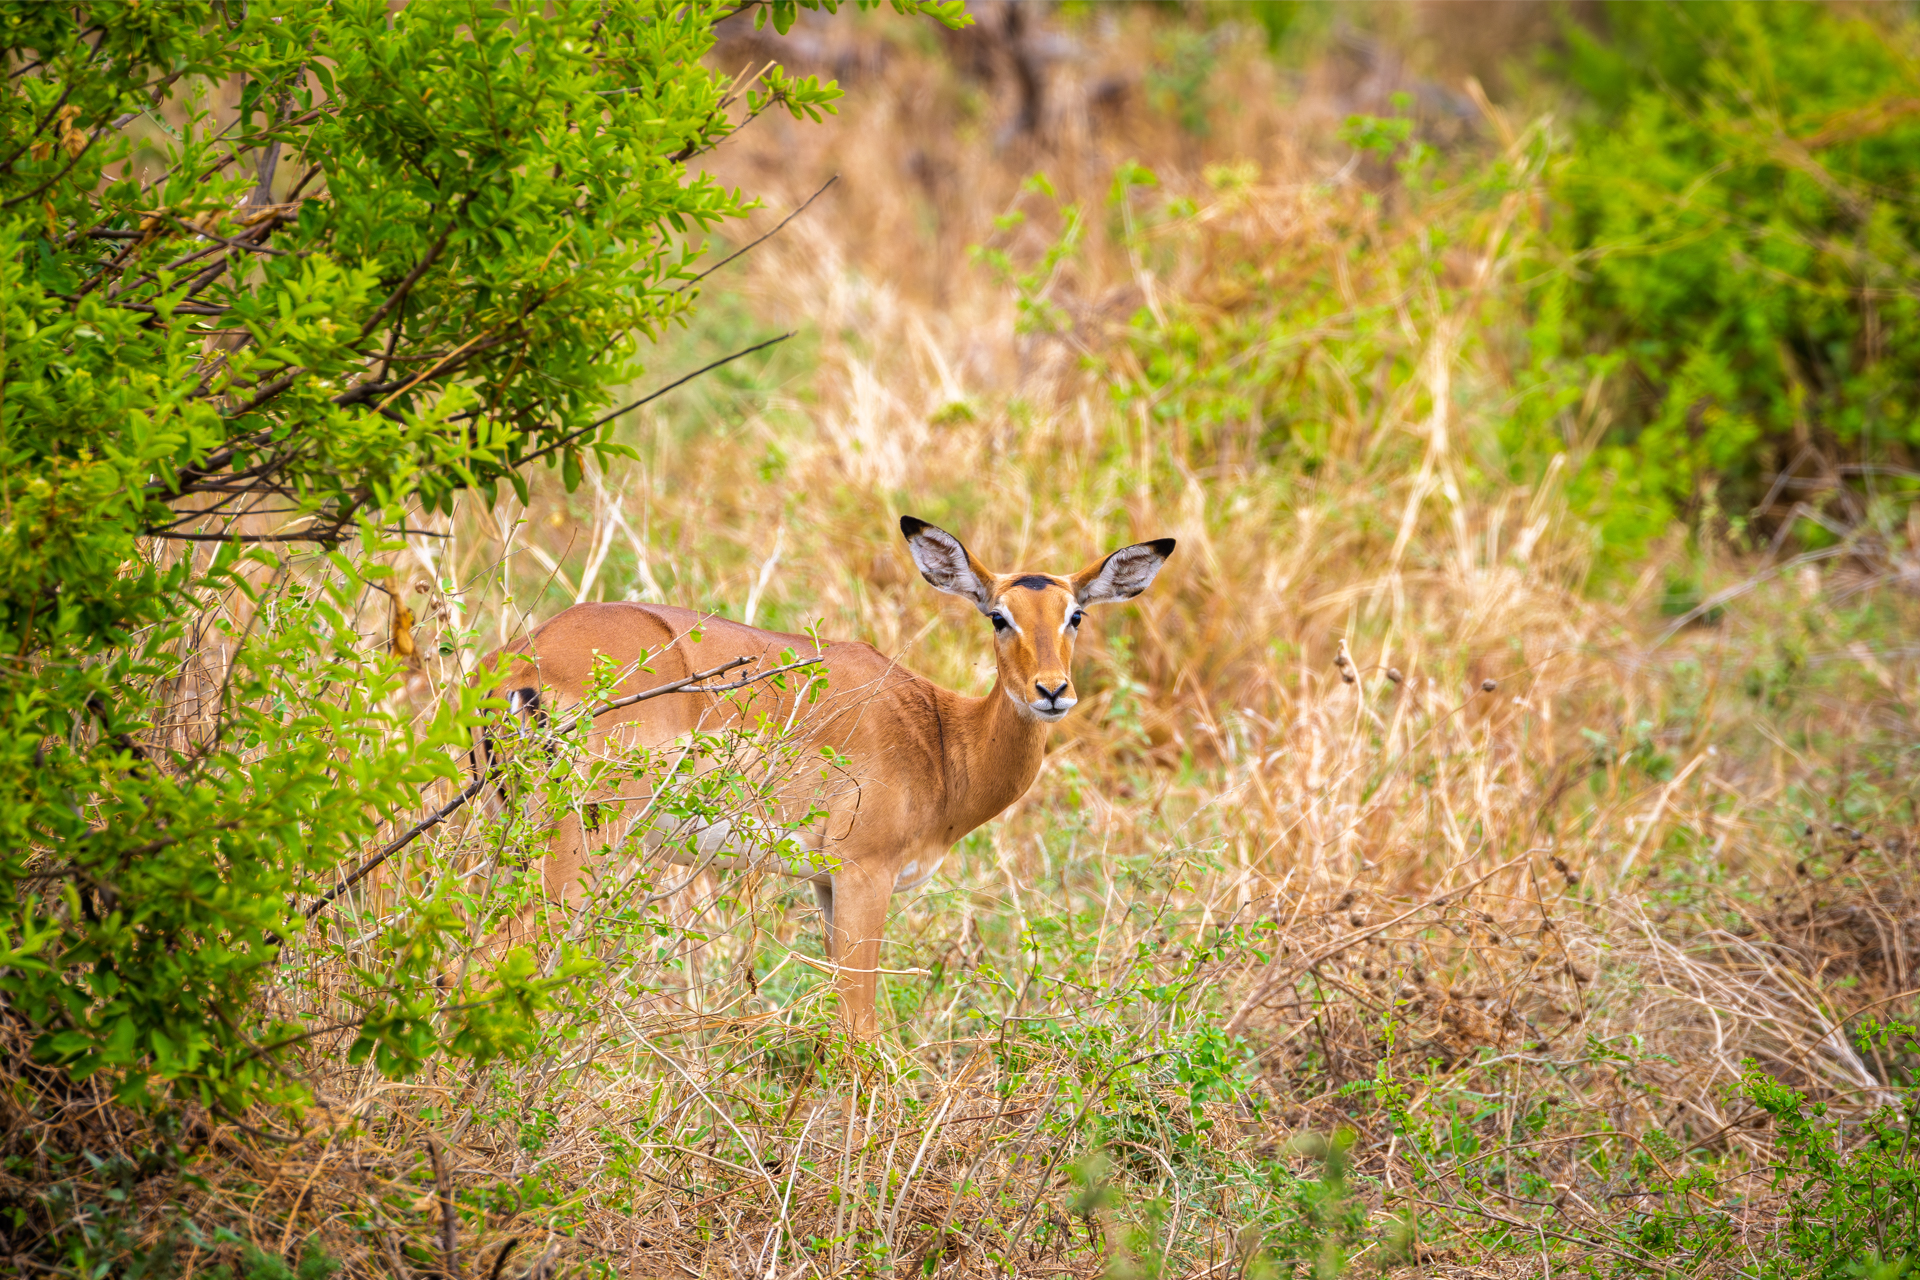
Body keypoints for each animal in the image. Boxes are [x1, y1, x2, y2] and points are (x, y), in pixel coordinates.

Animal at [488, 516, 1174, 1036]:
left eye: (1076, 614)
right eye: (999, 615)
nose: (1052, 691)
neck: (940, 737)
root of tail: (516, 665)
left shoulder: (824, 883)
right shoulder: (866, 873)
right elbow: (859, 1027)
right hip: (579, 841)